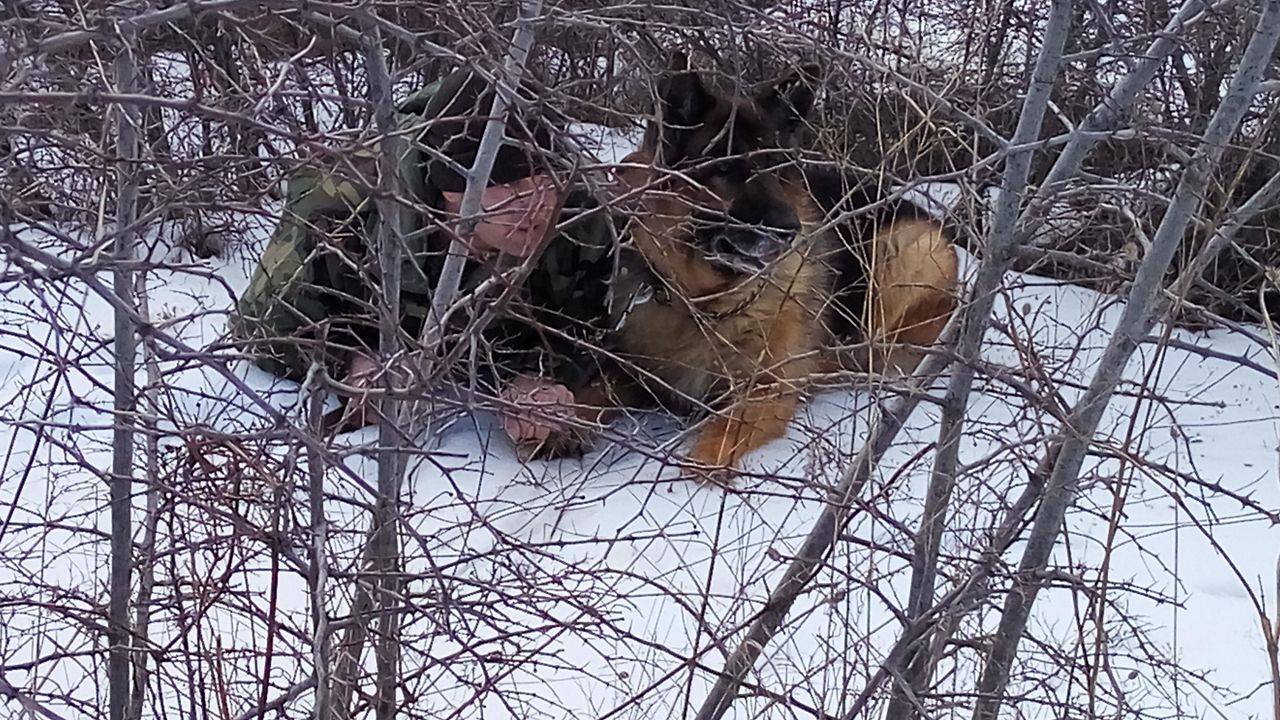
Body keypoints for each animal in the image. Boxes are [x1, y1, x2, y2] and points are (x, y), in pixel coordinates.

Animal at [565, 54, 957, 476]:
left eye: (775, 167)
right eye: (724, 169)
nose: (790, 230)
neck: (707, 302)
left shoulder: (763, 394)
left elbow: (711, 448)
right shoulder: (631, 370)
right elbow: (586, 393)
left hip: (898, 258)